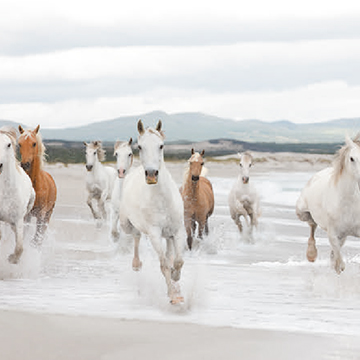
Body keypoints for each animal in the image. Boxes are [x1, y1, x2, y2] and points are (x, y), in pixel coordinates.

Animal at [119, 120, 184, 304]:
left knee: (169, 252)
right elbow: (164, 265)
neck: (162, 200)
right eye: (140, 147)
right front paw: (173, 296)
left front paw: (176, 279)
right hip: (127, 225)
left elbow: (178, 261)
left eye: (161, 145)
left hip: (168, 234)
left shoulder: (177, 231)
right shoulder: (155, 233)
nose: (151, 174)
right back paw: (136, 264)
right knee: (136, 236)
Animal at [296, 134, 360, 272]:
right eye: (352, 158)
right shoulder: (333, 233)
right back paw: (311, 254)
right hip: (302, 212)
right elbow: (339, 263)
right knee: (312, 224)